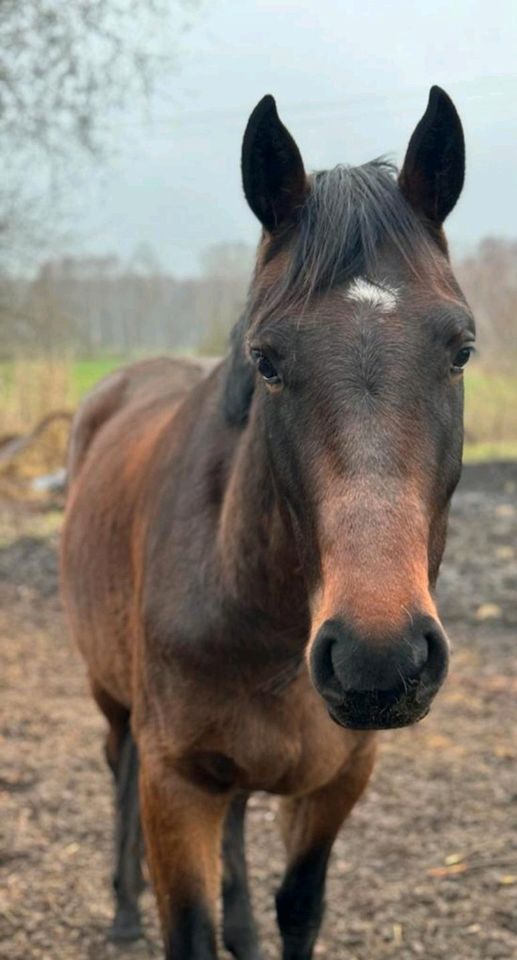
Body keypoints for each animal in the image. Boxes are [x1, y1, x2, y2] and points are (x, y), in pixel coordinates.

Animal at [59, 86, 472, 956]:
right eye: (267, 359)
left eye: (460, 349)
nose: (378, 658)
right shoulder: (176, 783)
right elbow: (187, 924)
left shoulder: (339, 782)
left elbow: (297, 907)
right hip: (111, 697)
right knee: (116, 772)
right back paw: (121, 912)